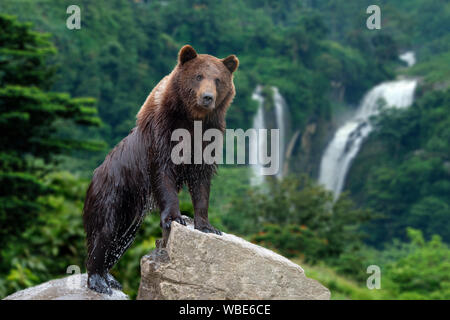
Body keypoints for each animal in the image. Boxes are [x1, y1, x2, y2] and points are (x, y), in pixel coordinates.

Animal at [83, 45, 241, 296]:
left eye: (218, 79)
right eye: (198, 76)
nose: (207, 97)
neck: (192, 120)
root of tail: (95, 174)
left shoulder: (207, 139)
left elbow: (201, 182)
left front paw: (207, 225)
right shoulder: (163, 132)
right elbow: (163, 174)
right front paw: (175, 218)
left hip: (131, 212)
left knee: (122, 238)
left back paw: (110, 277)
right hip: (112, 191)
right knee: (104, 230)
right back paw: (98, 280)